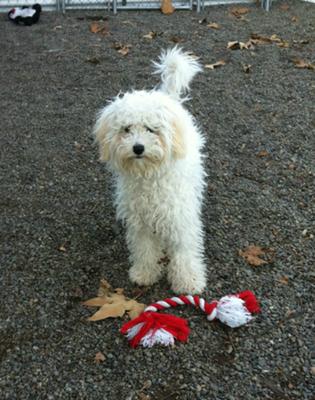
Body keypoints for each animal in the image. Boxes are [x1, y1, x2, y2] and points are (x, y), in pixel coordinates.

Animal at [94, 47, 207, 294]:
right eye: (126, 129)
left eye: (151, 129)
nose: (138, 148)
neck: (149, 177)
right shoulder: (139, 221)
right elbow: (144, 249)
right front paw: (145, 273)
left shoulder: (179, 217)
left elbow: (184, 251)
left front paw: (188, 280)